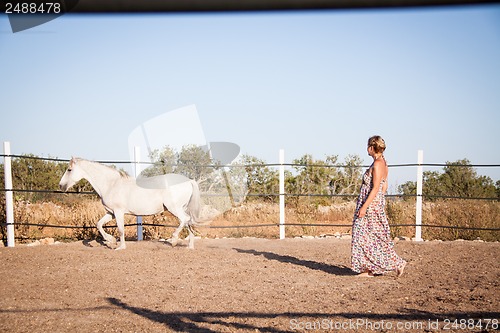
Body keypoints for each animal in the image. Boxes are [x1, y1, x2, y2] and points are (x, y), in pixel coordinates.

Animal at [60, 158, 203, 249]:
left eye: (69, 170)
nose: (61, 186)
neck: (111, 184)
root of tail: (189, 180)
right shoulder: (111, 213)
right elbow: (99, 224)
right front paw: (111, 241)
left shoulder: (118, 212)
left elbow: (120, 229)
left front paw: (120, 247)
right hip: (181, 208)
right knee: (188, 221)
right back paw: (190, 246)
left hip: (174, 208)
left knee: (185, 219)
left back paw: (173, 240)